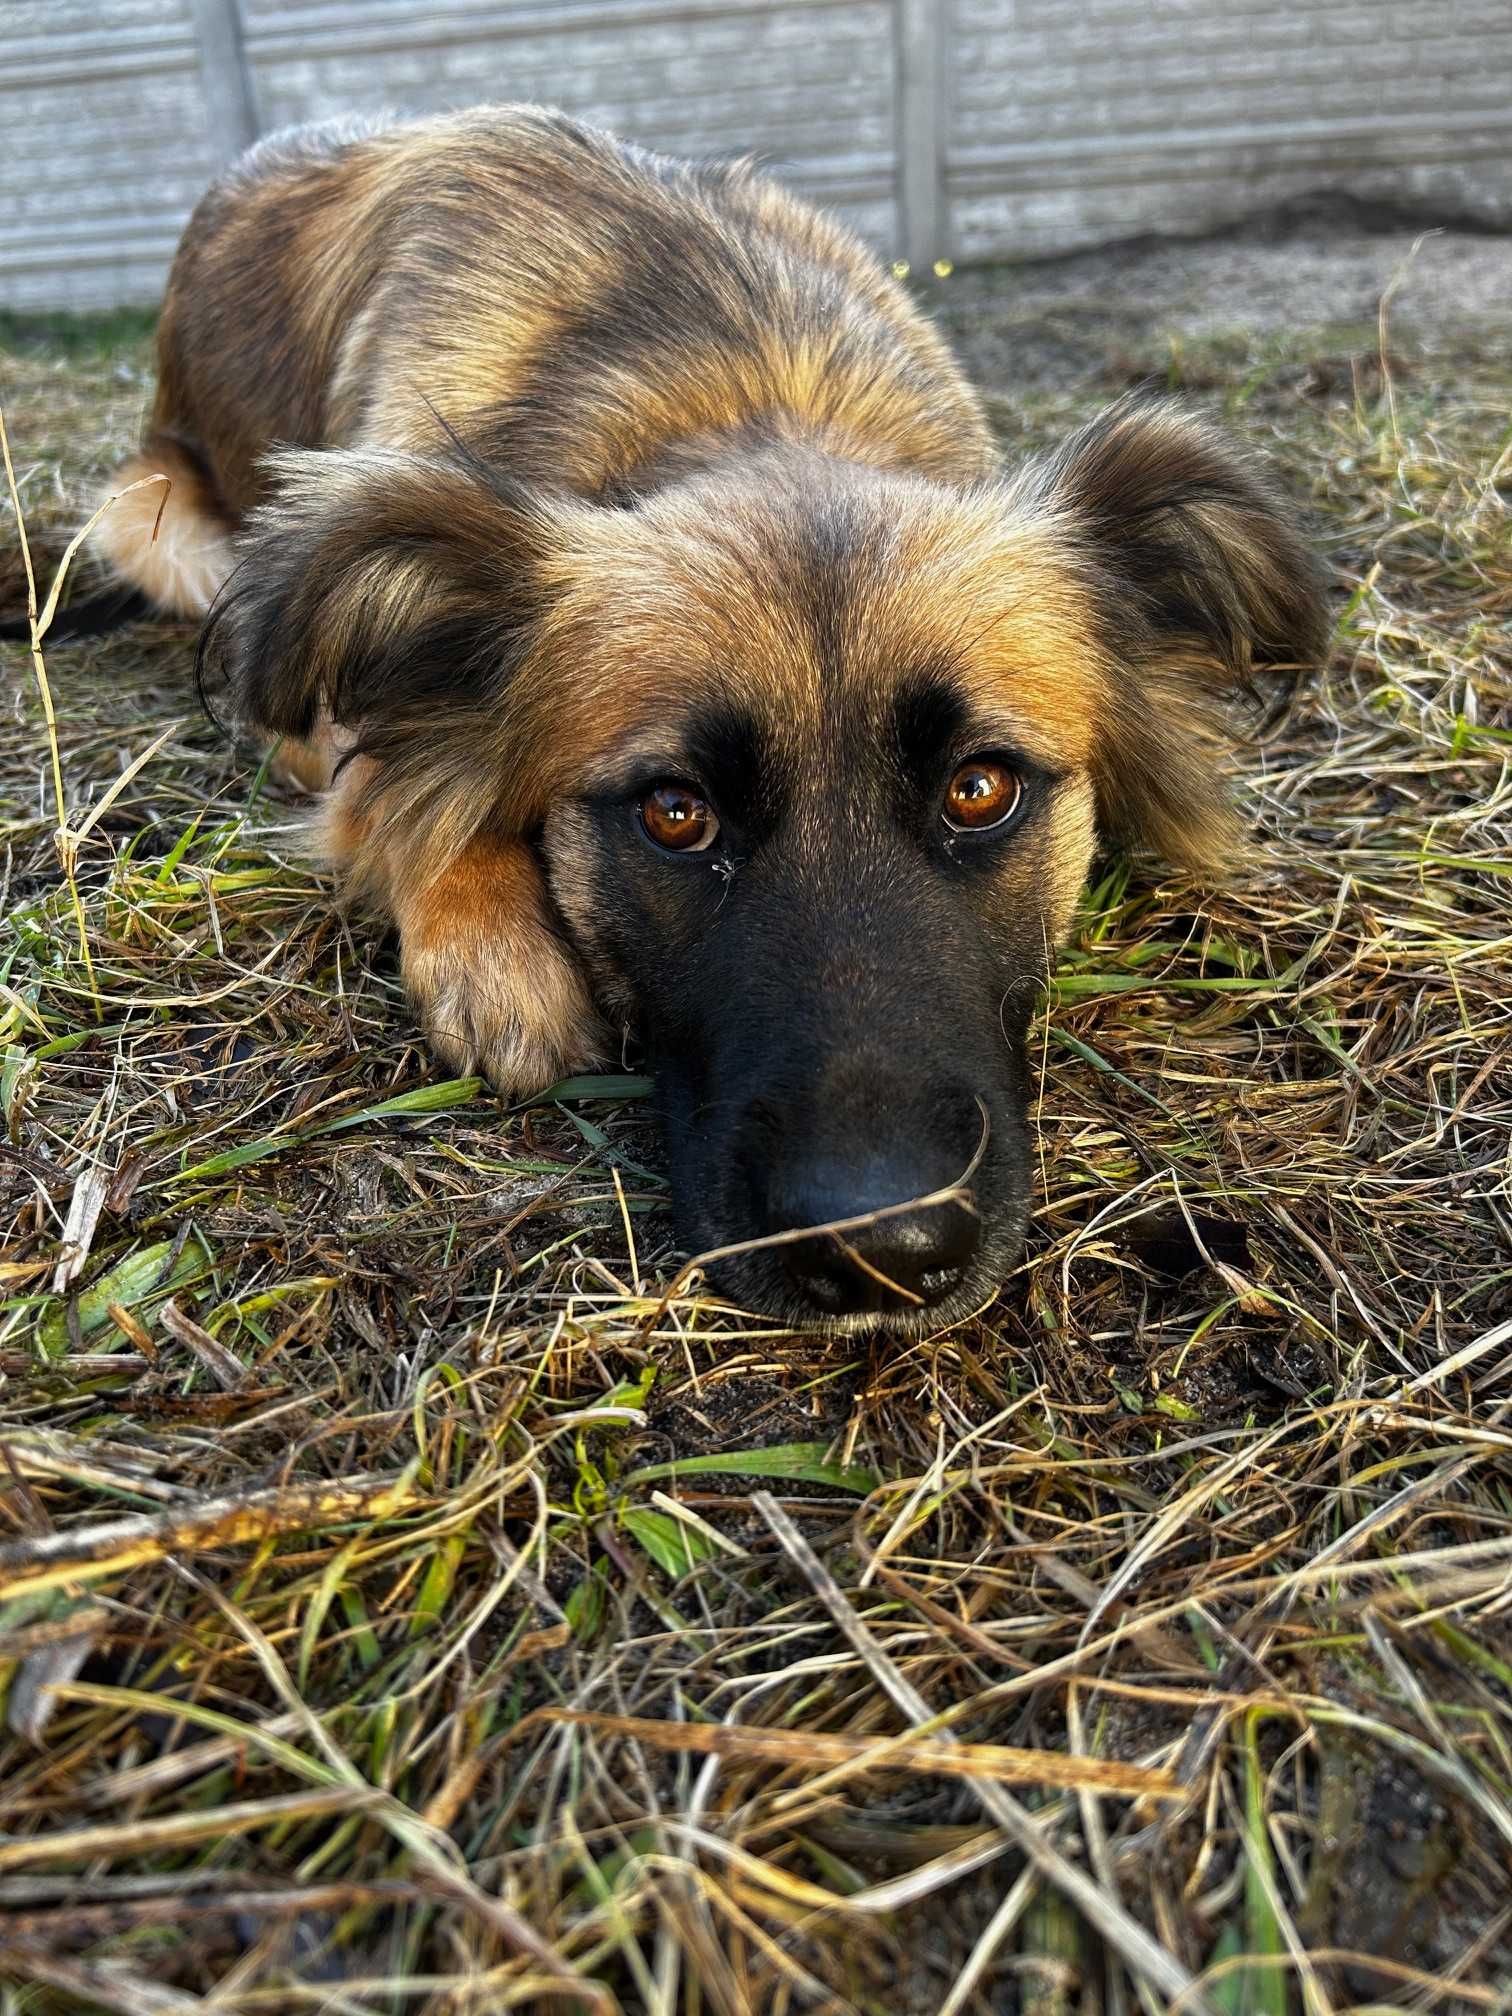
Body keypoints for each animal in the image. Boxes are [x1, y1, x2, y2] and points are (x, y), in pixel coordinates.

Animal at [88, 114, 1330, 1338]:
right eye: (675, 813)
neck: (743, 395)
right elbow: (389, 786)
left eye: (979, 789)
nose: (882, 1254)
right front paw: (491, 942)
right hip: (155, 522)